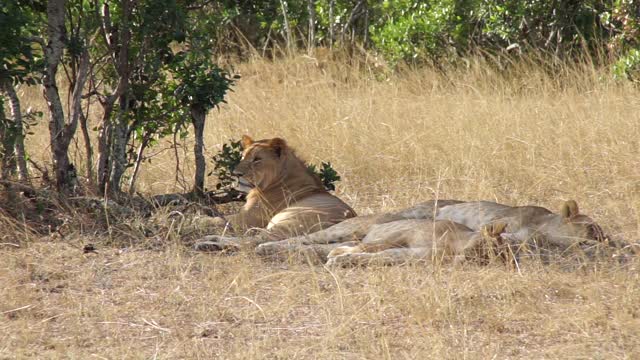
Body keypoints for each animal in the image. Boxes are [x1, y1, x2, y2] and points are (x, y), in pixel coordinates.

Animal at [192, 134, 358, 252]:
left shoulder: (247, 218)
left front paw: (196, 219)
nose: (236, 174)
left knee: (253, 242)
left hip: (286, 223)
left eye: (257, 159)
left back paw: (207, 242)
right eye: (243, 156)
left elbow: (218, 220)